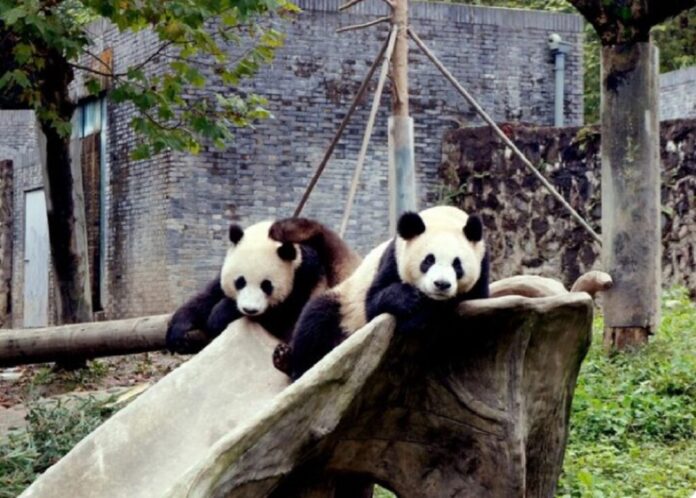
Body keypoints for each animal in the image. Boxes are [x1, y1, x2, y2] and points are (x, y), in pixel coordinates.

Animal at [165, 217, 361, 354]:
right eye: (240, 281)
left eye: (267, 285)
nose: (249, 310)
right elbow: (205, 297)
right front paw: (178, 334)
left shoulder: (304, 280)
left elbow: (280, 316)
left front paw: (218, 316)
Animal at [274, 205, 489, 380]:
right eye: (428, 260)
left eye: (457, 264)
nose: (441, 284)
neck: (445, 216)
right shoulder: (392, 258)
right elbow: (373, 303)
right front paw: (407, 300)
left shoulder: (482, 268)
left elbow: (465, 305)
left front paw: (420, 316)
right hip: (345, 305)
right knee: (315, 321)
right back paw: (292, 365)